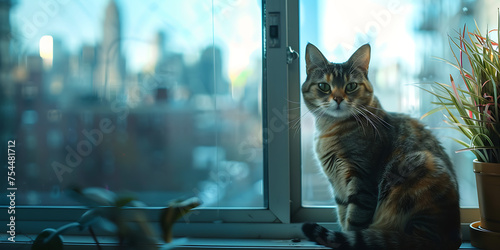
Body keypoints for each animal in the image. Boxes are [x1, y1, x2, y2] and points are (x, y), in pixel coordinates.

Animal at [300, 43, 460, 250]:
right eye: (324, 87)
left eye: (351, 86)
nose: (338, 99)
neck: (330, 130)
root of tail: (453, 237)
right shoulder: (338, 186)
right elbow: (343, 215)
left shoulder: (362, 179)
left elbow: (354, 222)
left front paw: (347, 237)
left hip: (419, 167)